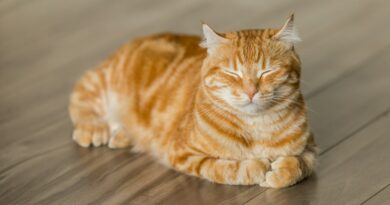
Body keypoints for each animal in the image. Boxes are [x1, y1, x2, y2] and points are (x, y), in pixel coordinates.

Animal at [70, 14, 318, 187]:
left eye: (267, 71)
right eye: (232, 73)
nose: (250, 91)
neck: (257, 127)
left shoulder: (311, 148)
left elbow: (300, 165)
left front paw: (281, 171)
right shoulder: (185, 154)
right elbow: (229, 169)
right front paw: (259, 167)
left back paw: (122, 135)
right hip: (102, 82)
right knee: (80, 95)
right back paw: (94, 128)